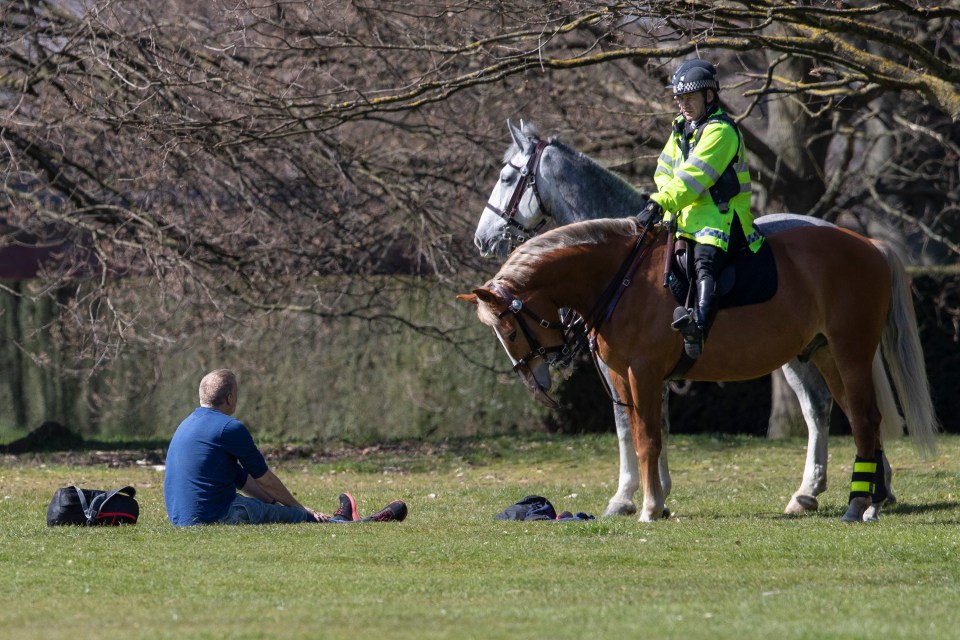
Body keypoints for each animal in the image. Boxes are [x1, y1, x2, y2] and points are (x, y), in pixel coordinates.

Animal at [460, 218, 936, 524]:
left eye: (509, 329)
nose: (537, 383)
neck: (621, 280)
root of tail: (869, 245)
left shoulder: (644, 374)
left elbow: (647, 440)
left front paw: (649, 507)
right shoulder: (624, 379)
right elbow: (641, 434)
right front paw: (649, 499)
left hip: (850, 353)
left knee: (862, 420)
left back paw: (857, 504)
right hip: (826, 356)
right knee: (861, 421)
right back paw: (869, 500)